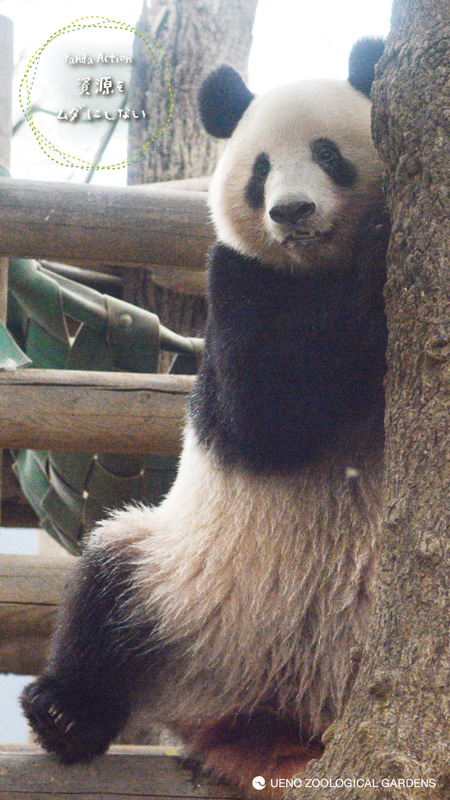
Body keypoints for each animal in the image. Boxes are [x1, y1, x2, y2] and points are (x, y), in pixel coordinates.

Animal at [22, 37, 386, 800]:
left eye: (328, 153)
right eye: (260, 169)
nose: (292, 212)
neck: (313, 270)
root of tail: (263, 724)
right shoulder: (238, 280)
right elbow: (267, 412)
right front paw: (376, 252)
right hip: (189, 593)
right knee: (108, 581)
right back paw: (66, 715)